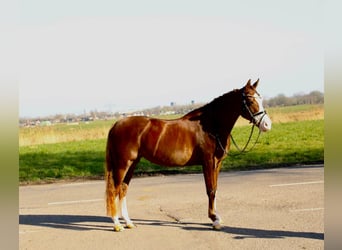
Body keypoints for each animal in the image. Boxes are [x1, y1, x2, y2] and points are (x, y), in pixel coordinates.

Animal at [105, 79, 272, 231]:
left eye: (261, 98)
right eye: (250, 100)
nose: (267, 125)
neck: (212, 125)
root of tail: (116, 125)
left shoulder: (217, 163)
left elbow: (215, 189)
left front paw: (216, 217)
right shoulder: (208, 162)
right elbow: (210, 190)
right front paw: (214, 219)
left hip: (132, 163)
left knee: (123, 189)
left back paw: (128, 222)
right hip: (123, 164)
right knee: (114, 190)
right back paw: (117, 224)